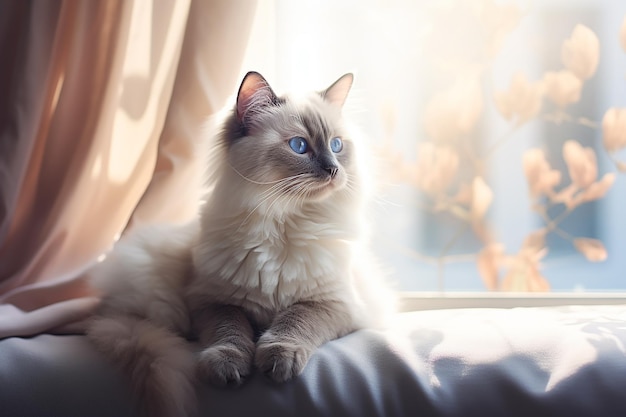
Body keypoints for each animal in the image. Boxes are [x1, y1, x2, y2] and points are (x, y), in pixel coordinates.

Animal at [85, 71, 392, 416]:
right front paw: (227, 367)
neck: (284, 225)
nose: (333, 170)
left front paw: (278, 359)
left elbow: (294, 322)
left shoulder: (330, 303)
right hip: (162, 307)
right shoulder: (213, 302)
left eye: (336, 145)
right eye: (299, 146)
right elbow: (230, 332)